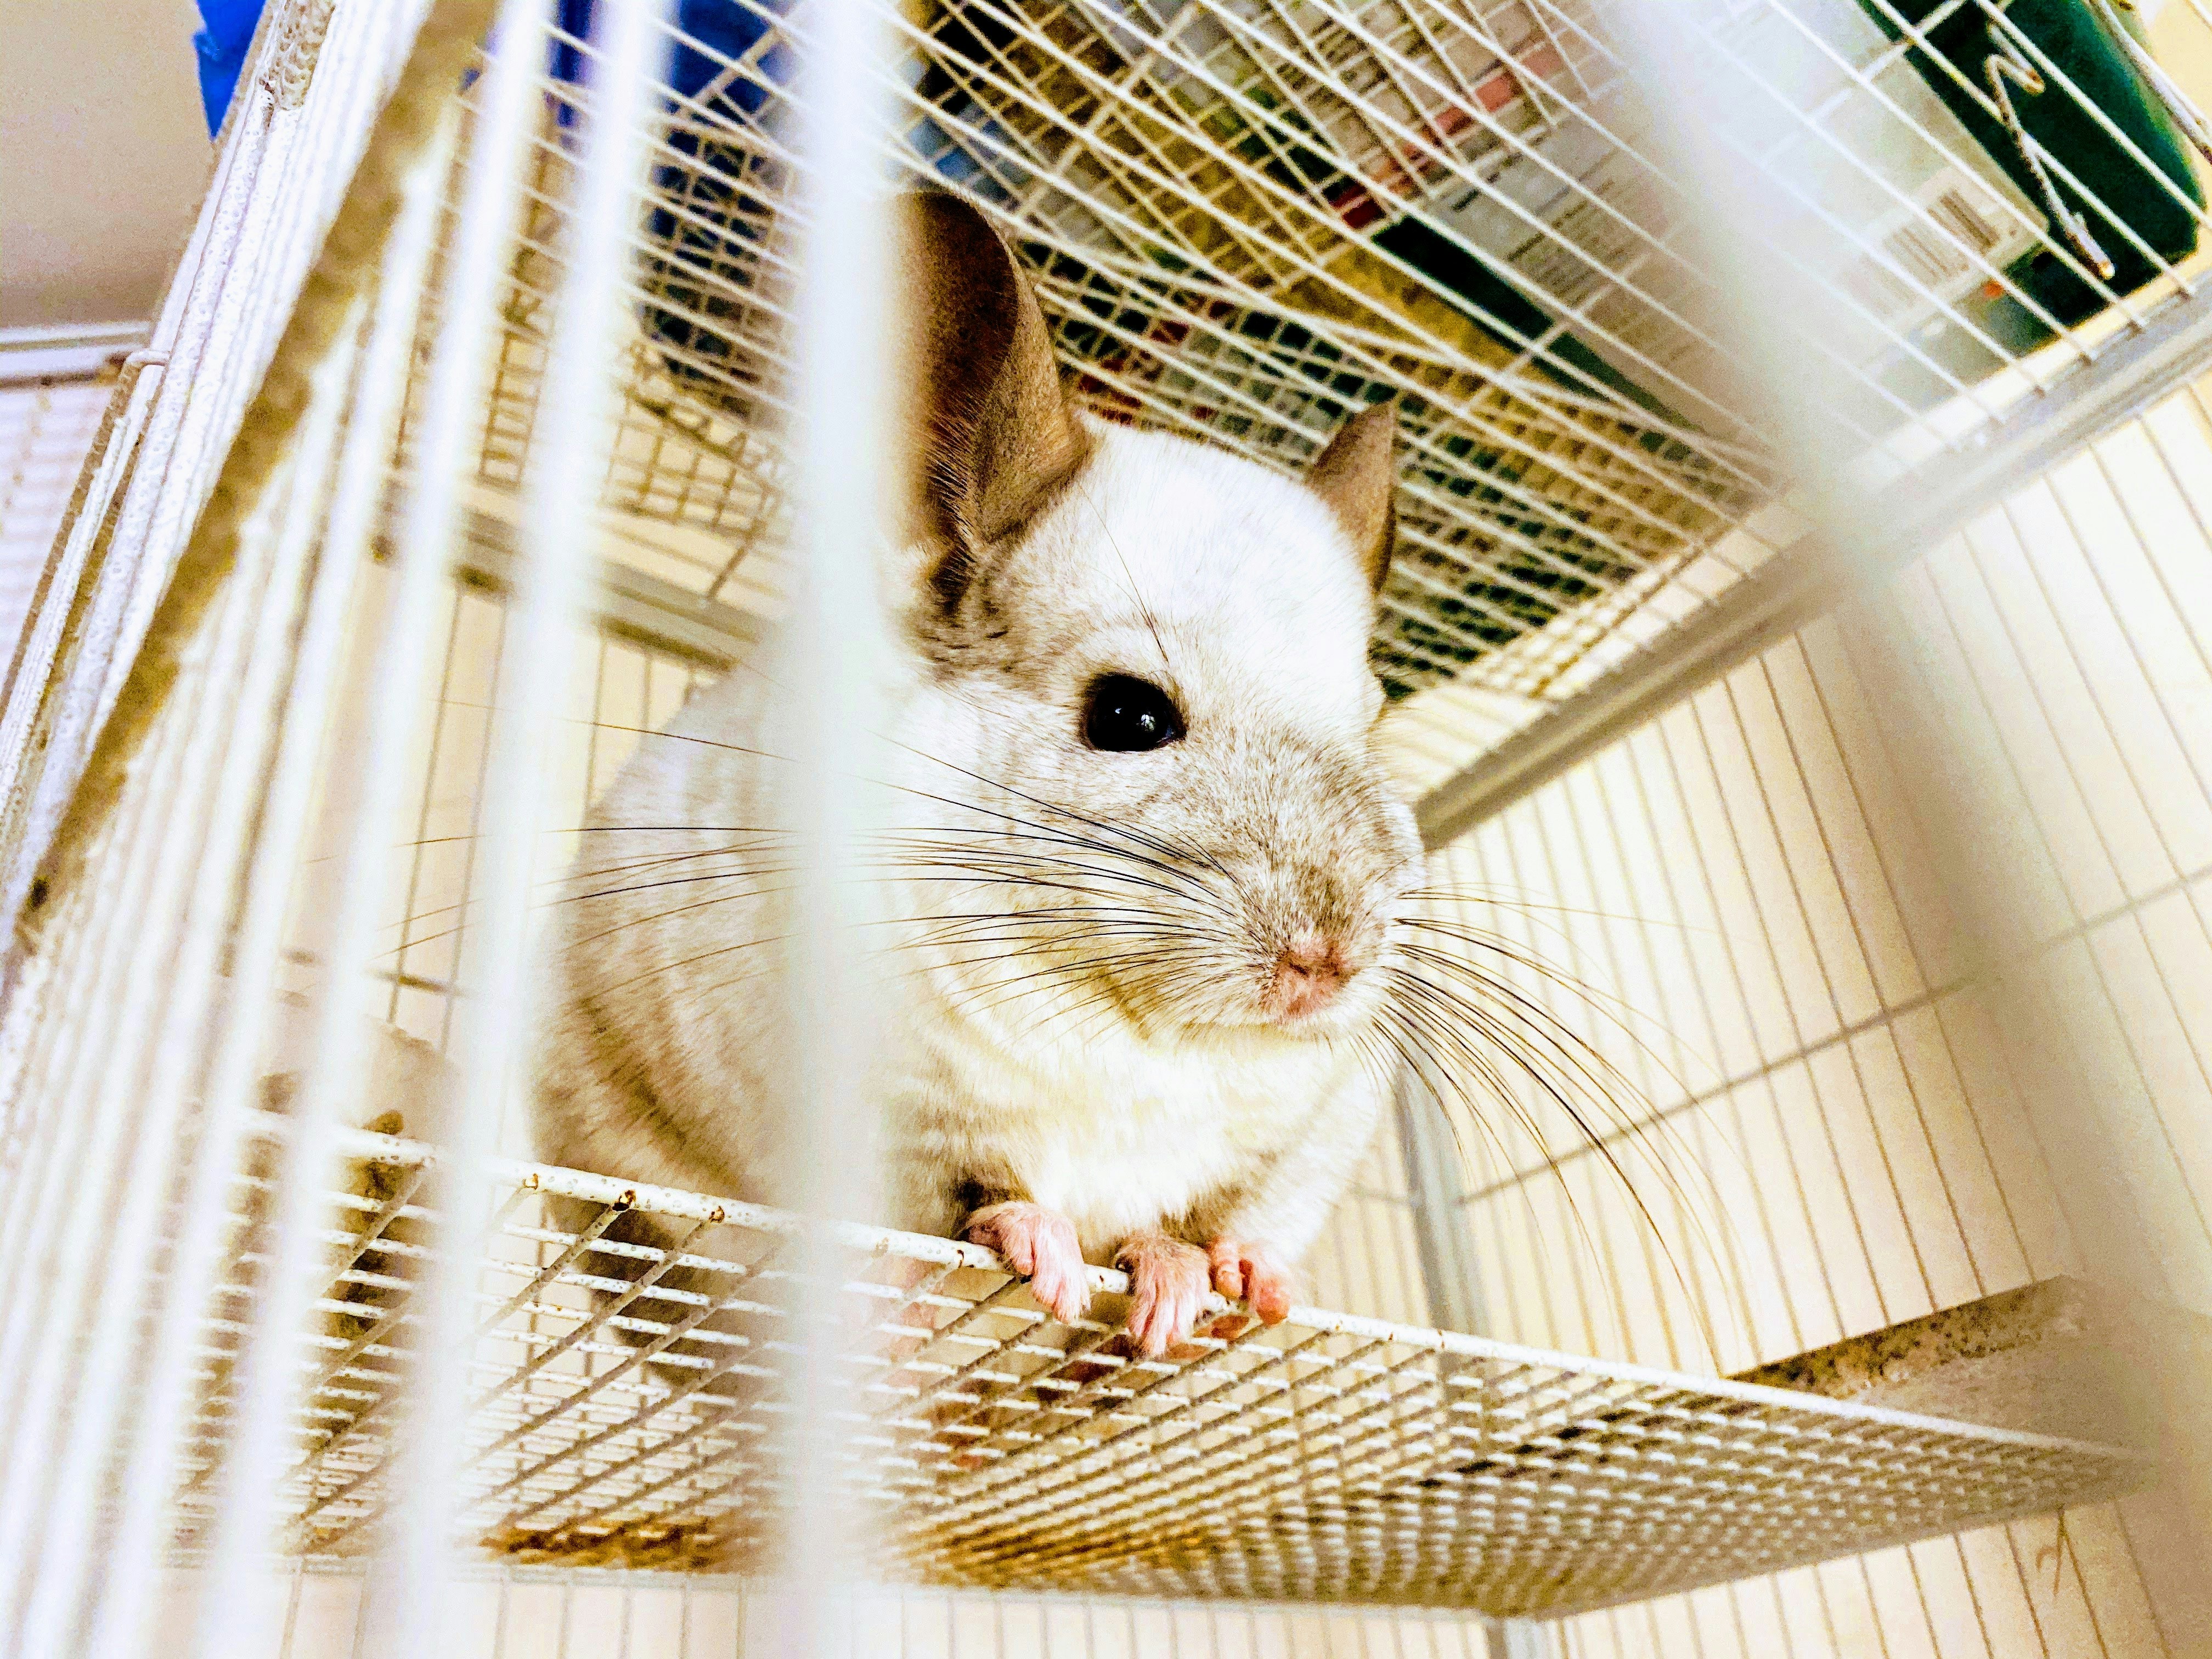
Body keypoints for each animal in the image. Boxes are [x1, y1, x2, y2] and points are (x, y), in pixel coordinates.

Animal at [534, 192, 1425, 1357]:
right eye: (1128, 713)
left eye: (1370, 730)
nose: (1327, 967)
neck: (1141, 1034)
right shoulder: (892, 1116)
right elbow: (979, 1190)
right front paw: (1041, 1250)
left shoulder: (1307, 1137)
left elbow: (1211, 1214)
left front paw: (1211, 1277)